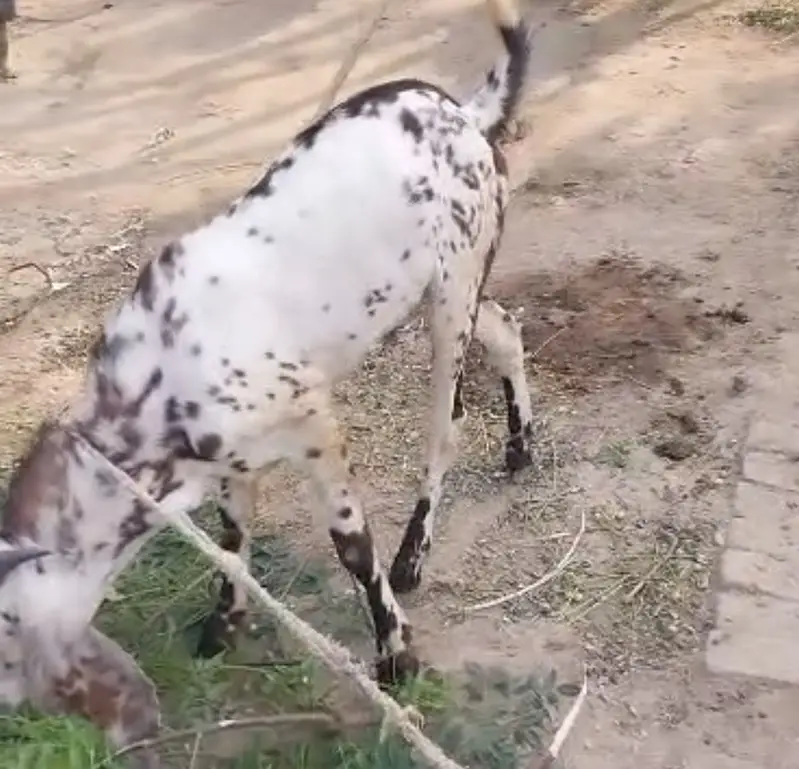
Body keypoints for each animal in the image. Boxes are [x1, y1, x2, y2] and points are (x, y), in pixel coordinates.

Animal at [0, 0, 533, 763]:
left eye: (7, 644)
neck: (156, 381)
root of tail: (463, 111)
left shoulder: (313, 425)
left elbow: (351, 546)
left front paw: (395, 656)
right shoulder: (228, 459)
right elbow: (231, 535)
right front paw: (222, 626)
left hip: (451, 292)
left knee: (446, 423)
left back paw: (415, 552)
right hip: (450, 287)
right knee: (508, 330)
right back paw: (520, 447)